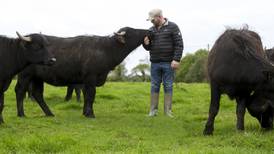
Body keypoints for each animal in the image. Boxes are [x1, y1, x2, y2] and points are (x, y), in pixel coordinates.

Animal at [15, 26, 148, 118]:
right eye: (134, 31)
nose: (148, 31)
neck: (106, 49)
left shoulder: (85, 81)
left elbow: (85, 95)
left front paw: (85, 112)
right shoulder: (91, 77)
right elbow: (90, 95)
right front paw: (90, 114)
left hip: (37, 78)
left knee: (37, 94)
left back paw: (49, 113)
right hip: (25, 75)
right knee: (20, 90)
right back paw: (21, 114)